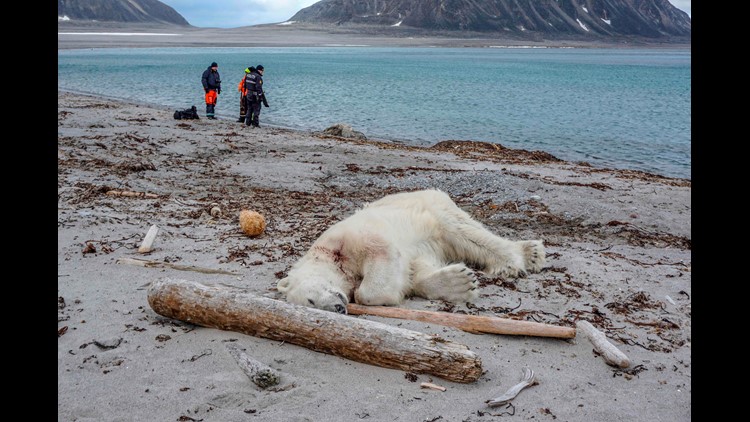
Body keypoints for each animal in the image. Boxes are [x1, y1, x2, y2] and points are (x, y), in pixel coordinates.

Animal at [276, 190, 548, 312]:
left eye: (311, 300)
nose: (338, 308)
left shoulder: (349, 238)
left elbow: (379, 259)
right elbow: (414, 271)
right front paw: (459, 282)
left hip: (433, 208)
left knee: (465, 233)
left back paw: (523, 257)